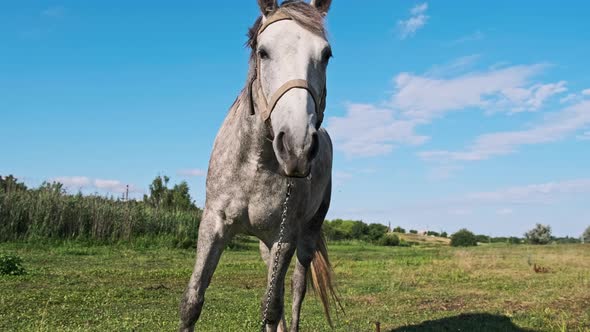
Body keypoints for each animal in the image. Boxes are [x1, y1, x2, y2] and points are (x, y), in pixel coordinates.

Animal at [179, 1, 338, 330]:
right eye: (263, 52)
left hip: (307, 234)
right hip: (266, 243)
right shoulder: (213, 224)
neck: (256, 163)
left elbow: (272, 306)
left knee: (295, 289)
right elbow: (192, 301)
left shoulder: (285, 236)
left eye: (326, 55)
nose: (298, 146)